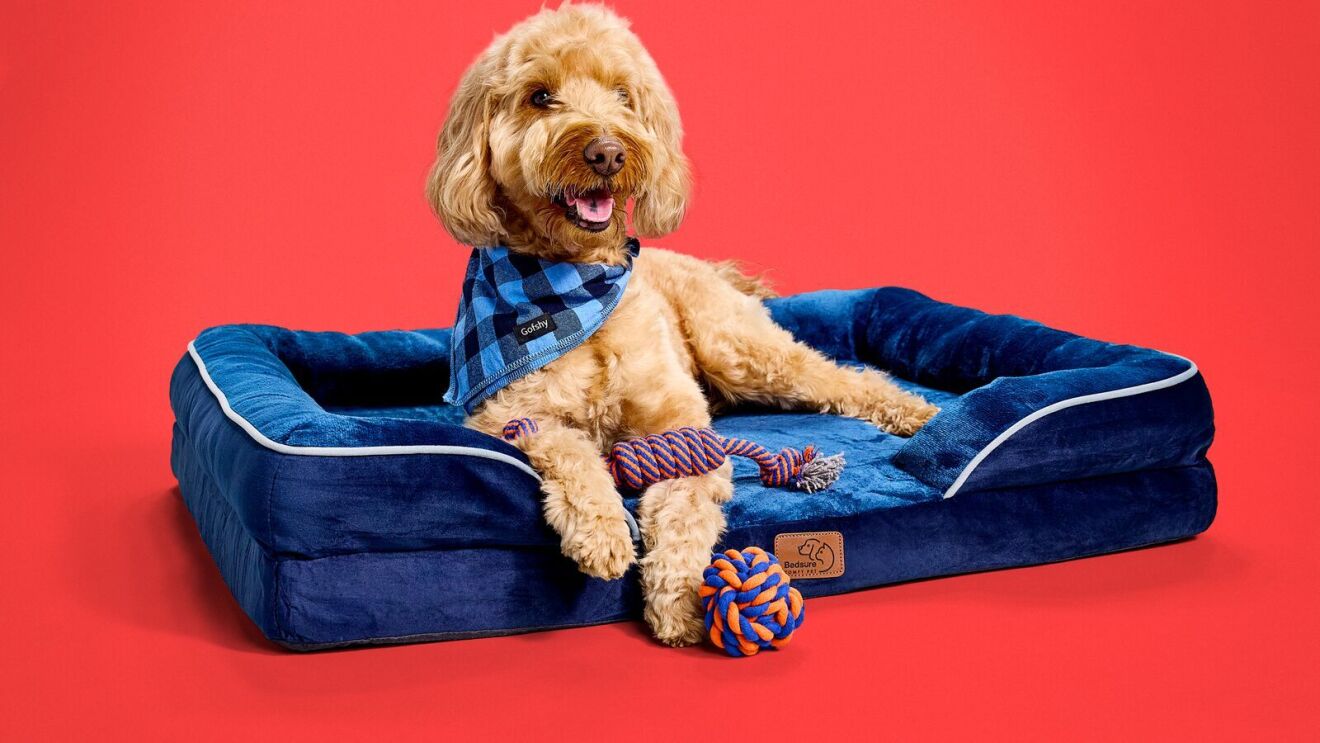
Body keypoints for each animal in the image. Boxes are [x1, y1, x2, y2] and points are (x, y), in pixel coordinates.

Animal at [425, 2, 939, 646]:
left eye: (623, 95)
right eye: (540, 96)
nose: (607, 153)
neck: (576, 291)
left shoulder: (680, 427)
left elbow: (687, 504)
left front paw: (684, 597)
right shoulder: (503, 418)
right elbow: (568, 447)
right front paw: (603, 531)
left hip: (741, 353)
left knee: (847, 376)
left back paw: (915, 413)